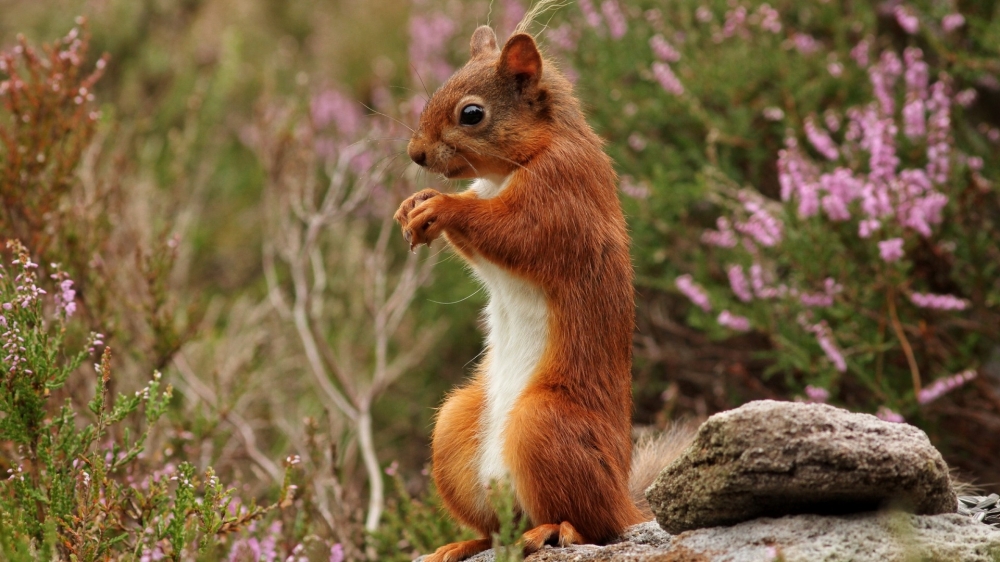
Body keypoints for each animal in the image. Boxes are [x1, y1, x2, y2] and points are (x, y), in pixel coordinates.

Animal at [390, 23, 688, 560]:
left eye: (471, 114)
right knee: (496, 527)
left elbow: (514, 233)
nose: (415, 155)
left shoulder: (560, 198)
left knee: (591, 524)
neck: (510, 168)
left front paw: (440, 206)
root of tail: (624, 502)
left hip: (542, 423)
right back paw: (463, 543)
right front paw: (414, 203)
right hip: (453, 428)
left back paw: (552, 531)